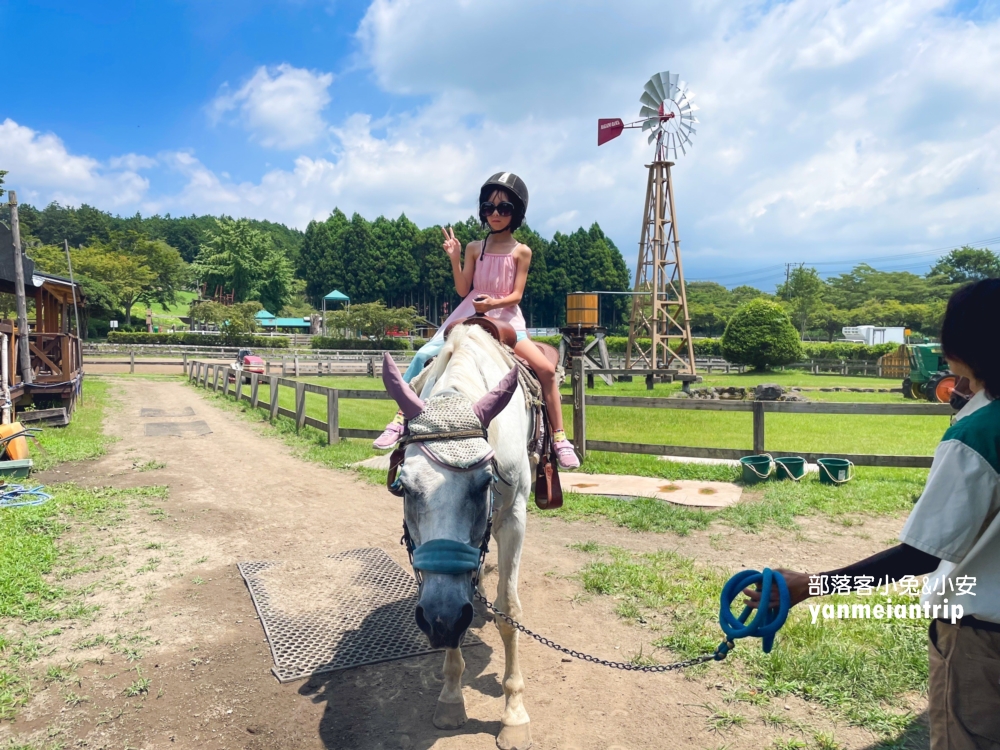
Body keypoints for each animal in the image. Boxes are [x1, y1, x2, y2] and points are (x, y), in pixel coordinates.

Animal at [382, 328, 536, 750]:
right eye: (403, 487)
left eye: (484, 483)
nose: (439, 618)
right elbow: (457, 616)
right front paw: (451, 698)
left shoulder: (513, 516)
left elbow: (510, 611)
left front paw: (513, 714)